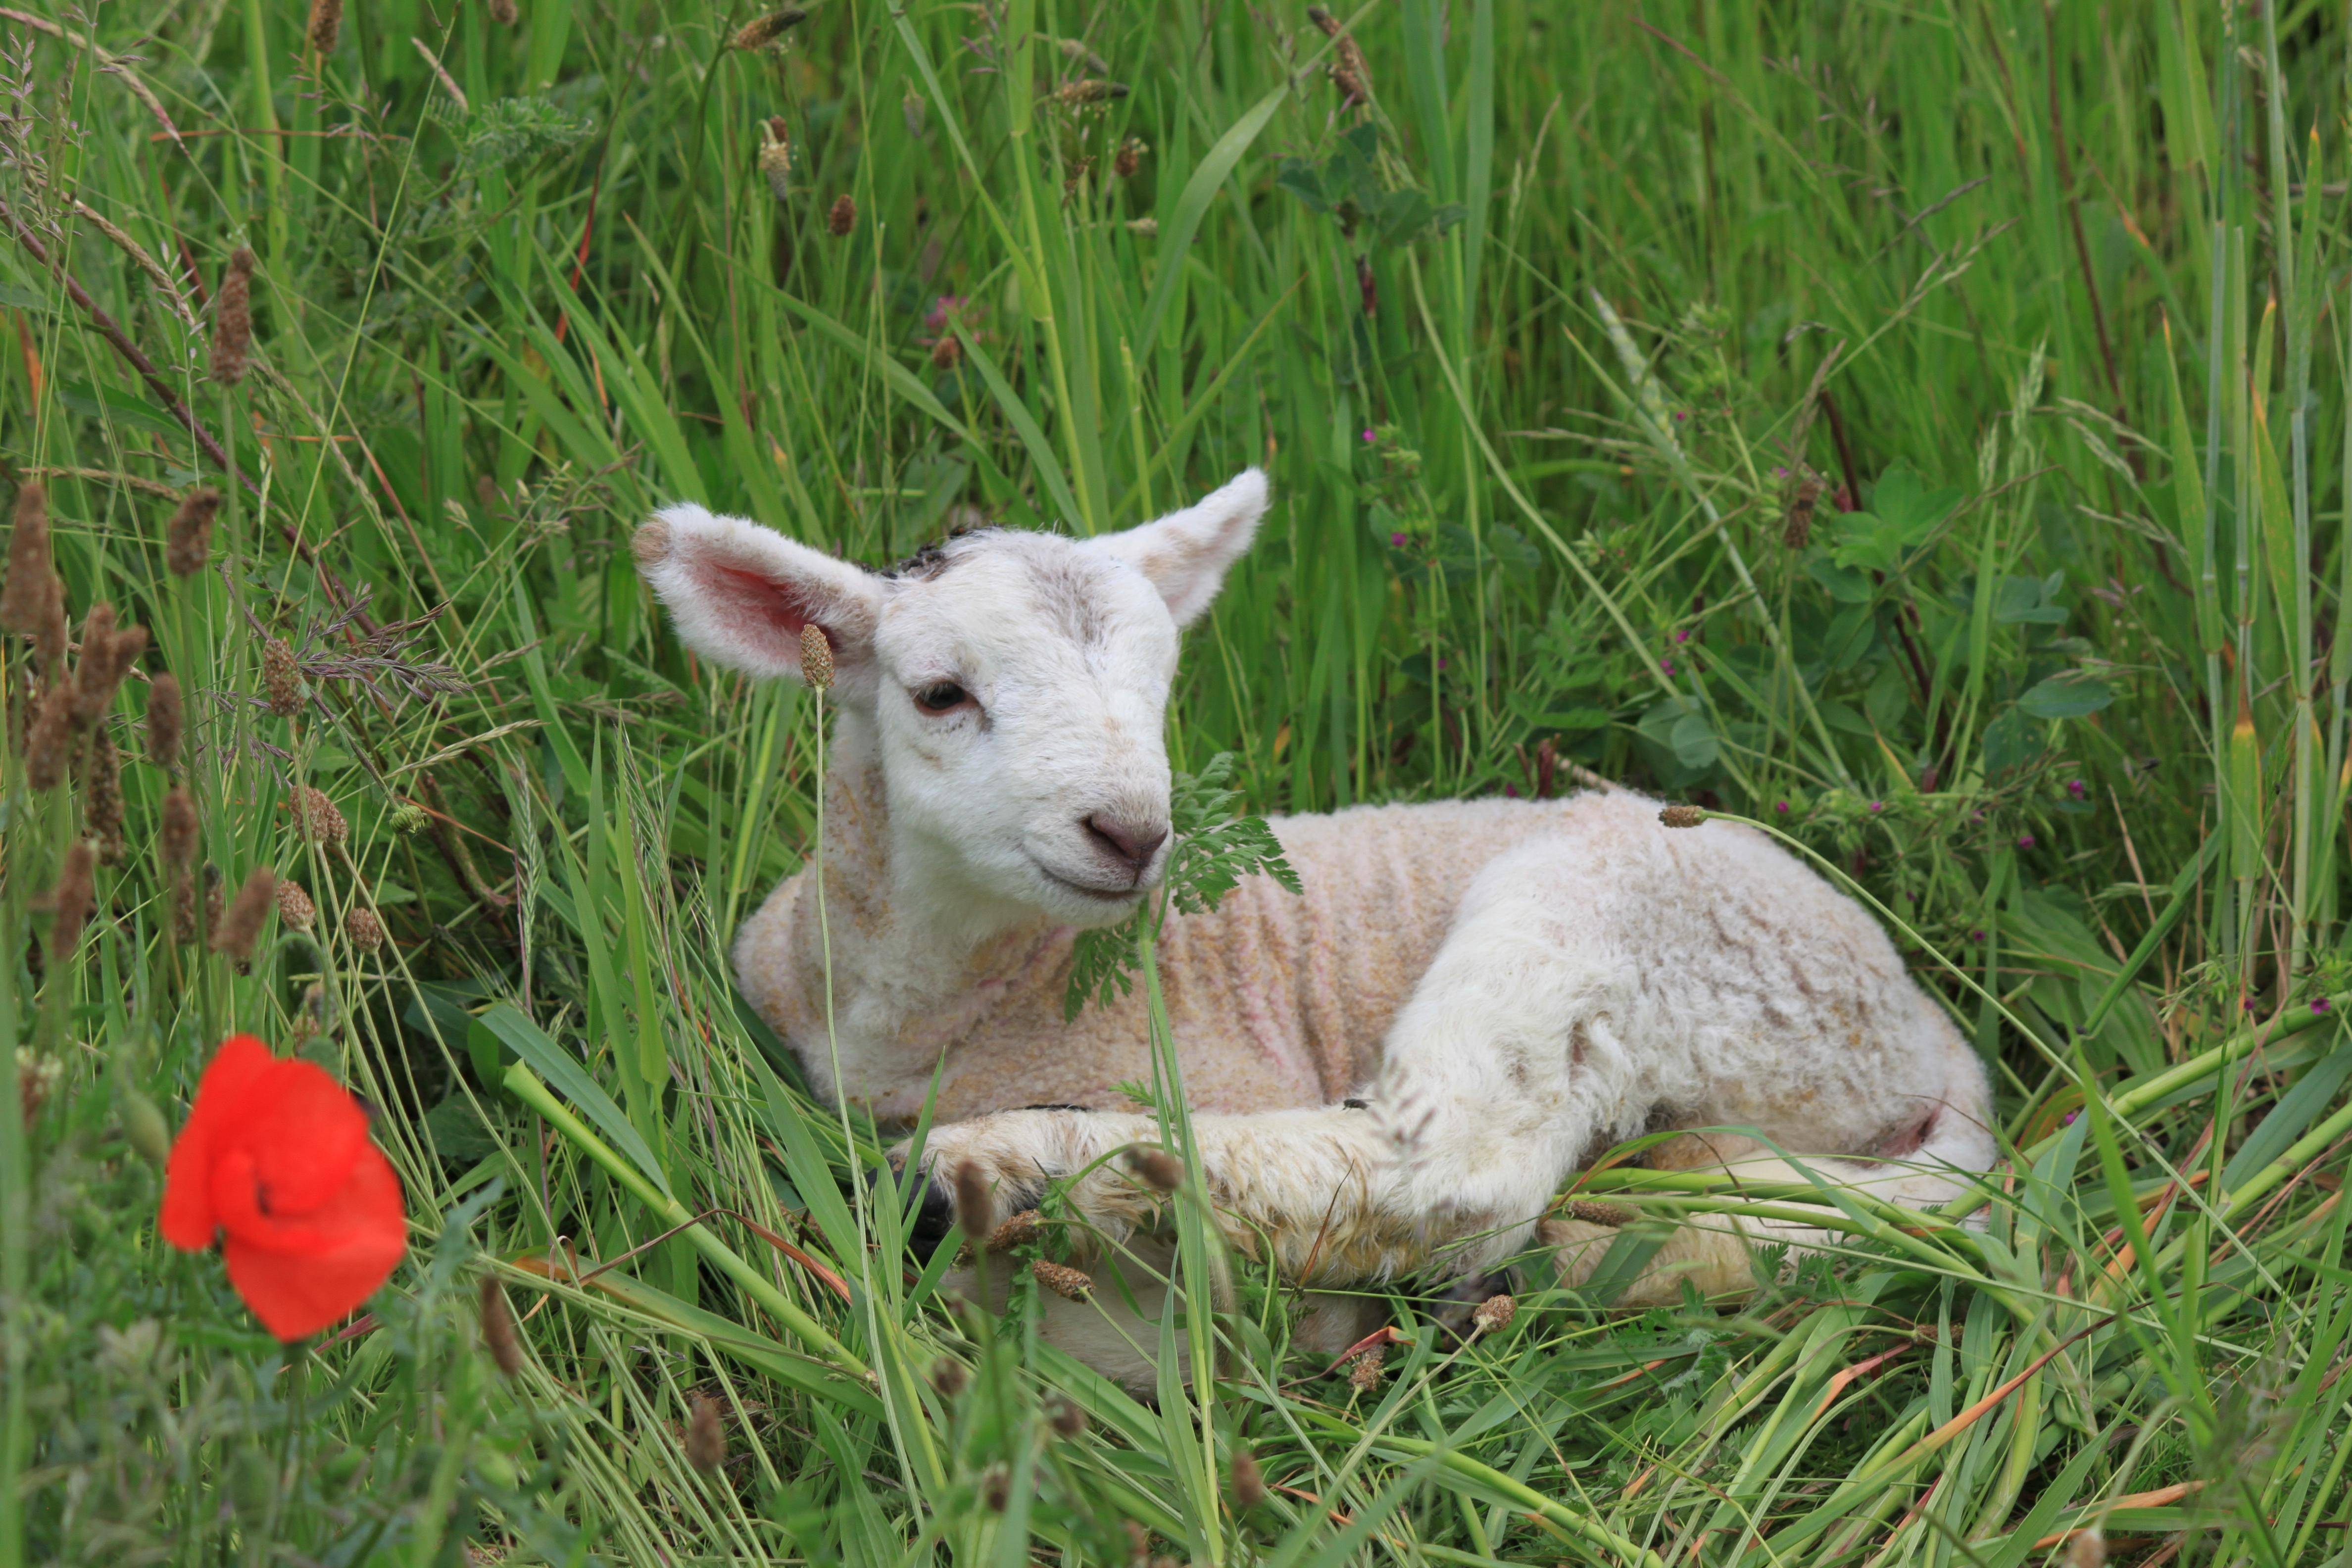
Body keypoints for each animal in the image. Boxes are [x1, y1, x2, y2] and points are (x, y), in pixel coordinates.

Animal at [632, 469, 1997, 1386]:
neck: (933, 1008)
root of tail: (1925, 1033)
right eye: (938, 694)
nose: (1131, 831)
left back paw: (1006, 1168)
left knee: (1451, 1169)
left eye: (1159, 687)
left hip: (1643, 921)